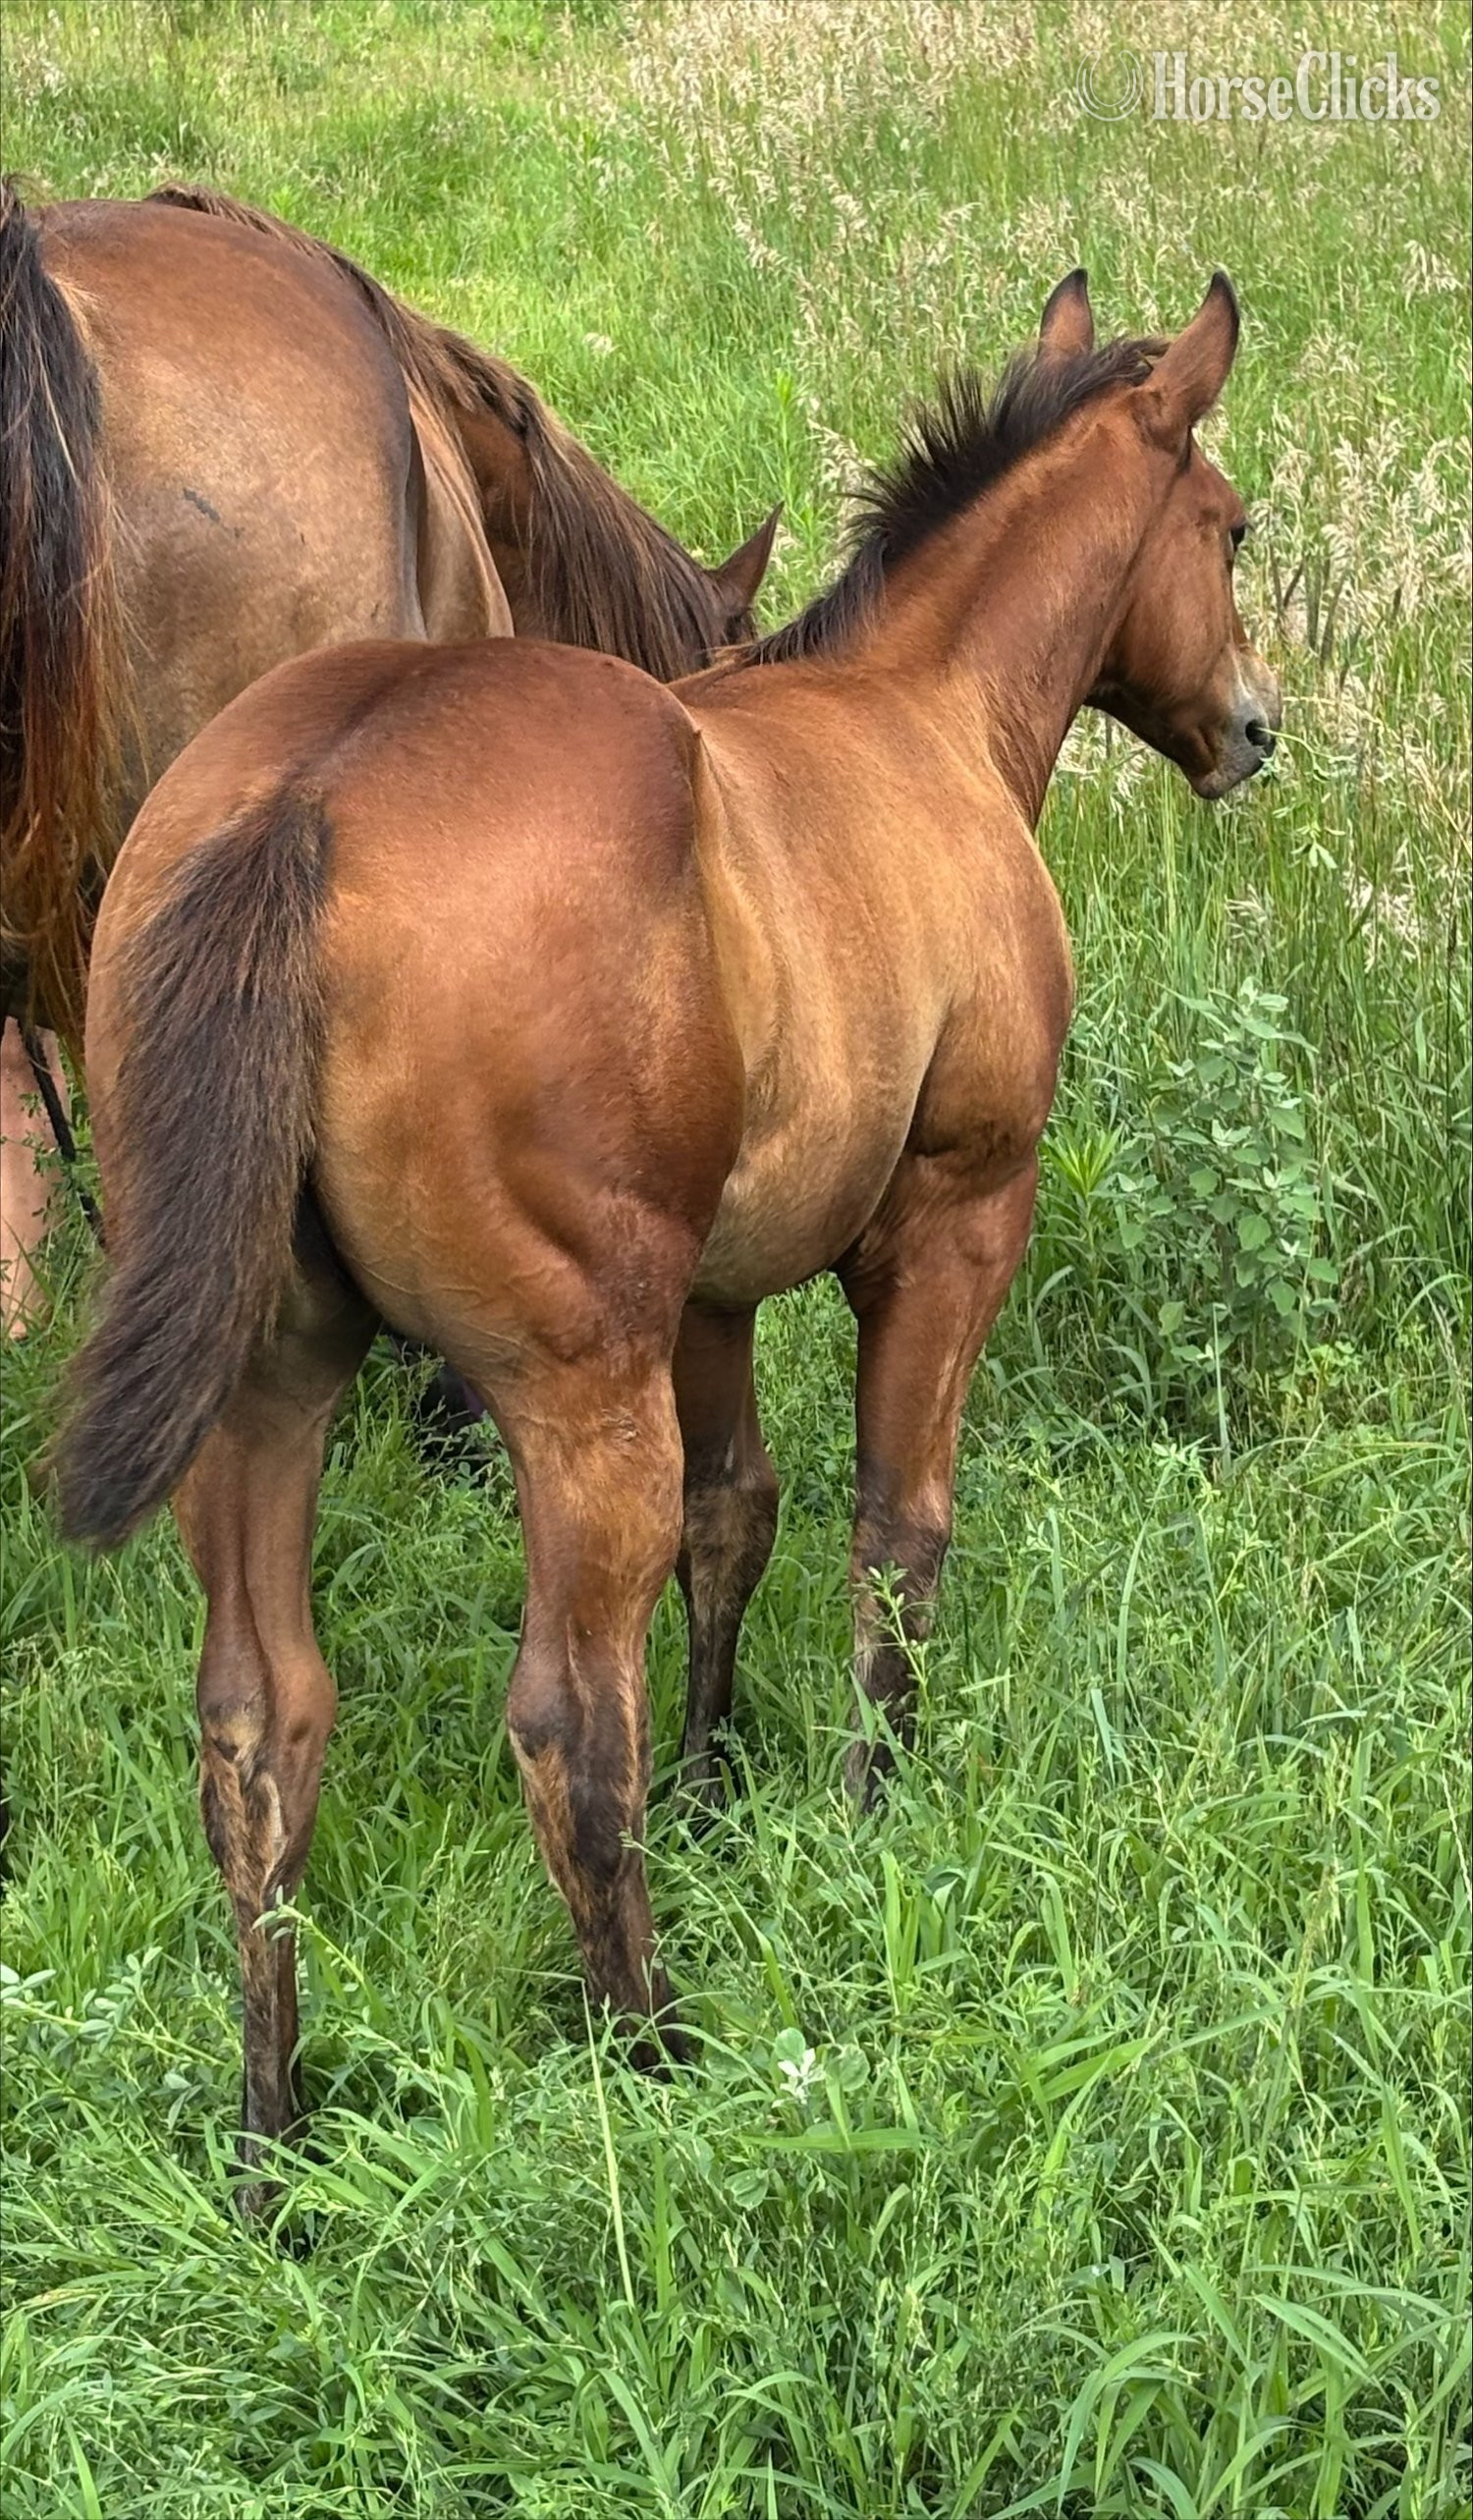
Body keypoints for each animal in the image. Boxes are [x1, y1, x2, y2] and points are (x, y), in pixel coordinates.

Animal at [55, 271, 1280, 2209]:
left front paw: (722, 1787)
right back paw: (652, 2049)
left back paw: (272, 2151)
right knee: (567, 1722)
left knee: (261, 1724)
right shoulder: (956, 1217)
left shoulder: (710, 1289)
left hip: (269, 1376)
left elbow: (740, 1516)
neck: (921, 716)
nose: (1255, 729)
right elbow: (896, 1531)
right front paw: (869, 1804)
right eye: (1227, 525)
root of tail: (301, 801)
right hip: (571, 1384)